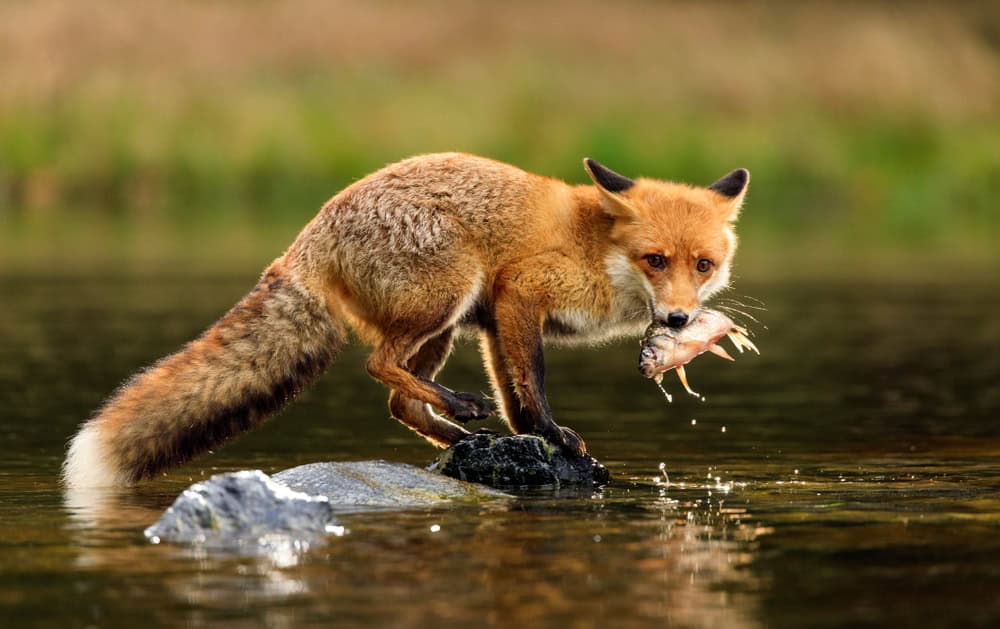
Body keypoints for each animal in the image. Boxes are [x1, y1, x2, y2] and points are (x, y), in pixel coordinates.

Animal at [62, 153, 749, 488]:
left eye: (704, 265)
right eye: (655, 260)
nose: (680, 319)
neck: (597, 249)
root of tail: (309, 233)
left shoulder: (495, 319)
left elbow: (515, 396)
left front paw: (535, 439)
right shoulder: (519, 293)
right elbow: (530, 384)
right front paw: (554, 436)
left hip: (448, 323)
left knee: (399, 400)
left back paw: (460, 434)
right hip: (446, 295)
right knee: (379, 364)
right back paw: (462, 411)